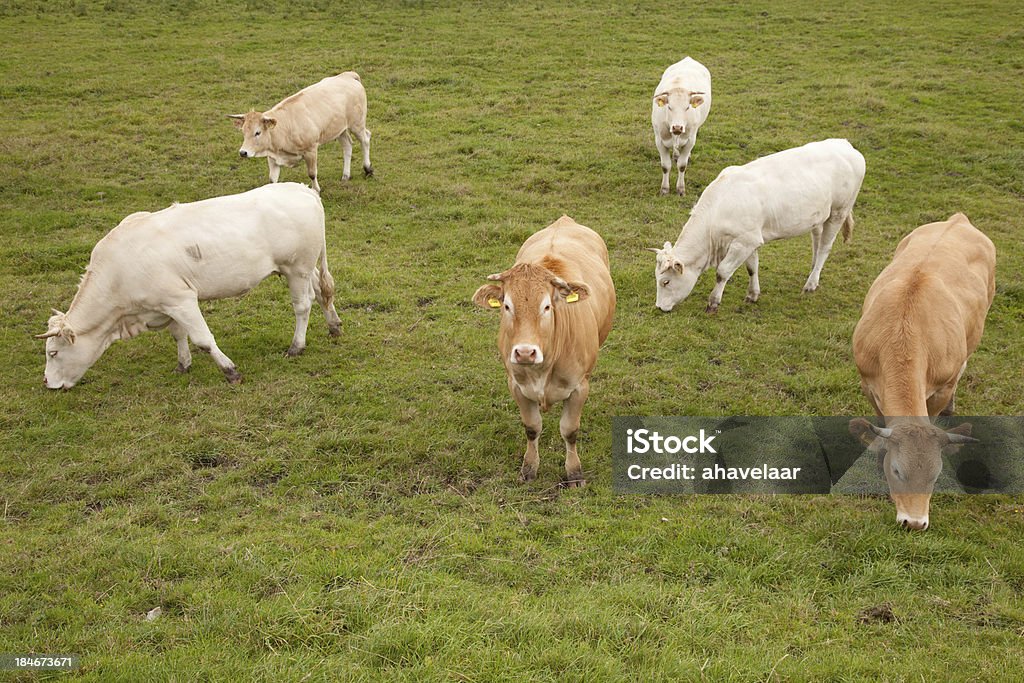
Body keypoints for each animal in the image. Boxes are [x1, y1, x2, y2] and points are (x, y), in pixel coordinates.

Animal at [473, 216, 614, 489]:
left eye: (547, 306)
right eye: (507, 306)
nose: (525, 353)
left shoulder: (579, 387)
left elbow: (569, 430)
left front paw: (574, 473)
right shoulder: (516, 385)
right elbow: (532, 427)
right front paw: (529, 468)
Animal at [647, 139, 864, 315]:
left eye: (665, 281)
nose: (659, 307)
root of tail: (845, 145)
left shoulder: (744, 241)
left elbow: (723, 272)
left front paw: (713, 302)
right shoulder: (749, 240)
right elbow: (752, 268)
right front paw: (752, 295)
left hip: (839, 211)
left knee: (825, 248)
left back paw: (810, 284)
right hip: (819, 216)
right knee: (817, 242)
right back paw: (813, 272)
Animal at [651, 56, 708, 196]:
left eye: (687, 107)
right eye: (669, 107)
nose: (677, 127)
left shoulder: (690, 140)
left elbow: (682, 165)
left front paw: (681, 189)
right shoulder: (659, 140)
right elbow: (665, 166)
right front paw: (664, 189)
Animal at [847, 211, 999, 528]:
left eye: (936, 475)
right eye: (896, 471)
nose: (914, 522)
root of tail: (959, 219)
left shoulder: (942, 386)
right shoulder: (868, 383)